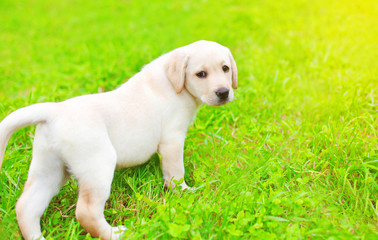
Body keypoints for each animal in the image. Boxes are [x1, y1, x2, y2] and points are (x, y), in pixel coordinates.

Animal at [0, 40, 236, 239]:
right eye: (201, 74)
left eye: (225, 68)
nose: (224, 92)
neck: (174, 84)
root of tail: (53, 111)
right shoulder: (172, 140)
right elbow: (175, 174)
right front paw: (185, 193)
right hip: (98, 166)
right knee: (86, 212)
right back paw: (116, 233)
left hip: (49, 169)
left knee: (27, 207)